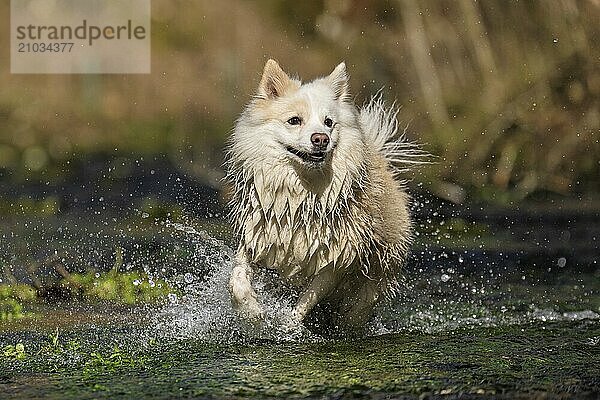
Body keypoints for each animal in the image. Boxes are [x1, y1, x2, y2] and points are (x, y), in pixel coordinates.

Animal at [226, 58, 418, 328]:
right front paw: (252, 312)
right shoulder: (257, 237)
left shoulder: (335, 262)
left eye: (328, 122)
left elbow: (306, 300)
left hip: (368, 289)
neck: (302, 192)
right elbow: (237, 279)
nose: (321, 139)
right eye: (294, 120)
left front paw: (289, 326)